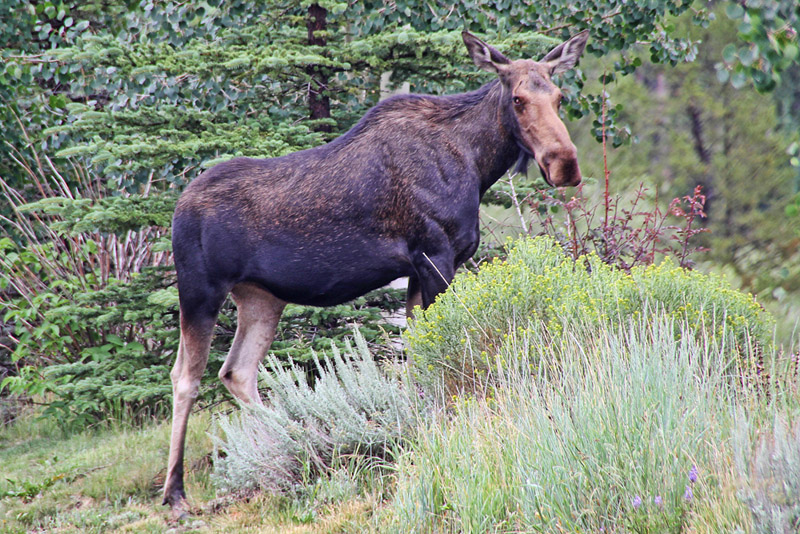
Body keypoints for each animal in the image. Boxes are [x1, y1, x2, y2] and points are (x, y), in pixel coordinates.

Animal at [162, 28, 588, 510]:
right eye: (517, 98)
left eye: (558, 96)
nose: (564, 163)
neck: (478, 164)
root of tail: (177, 208)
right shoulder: (435, 255)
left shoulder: (422, 268)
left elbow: (418, 355)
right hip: (200, 290)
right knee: (186, 377)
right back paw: (175, 490)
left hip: (261, 297)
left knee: (237, 372)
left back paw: (295, 442)